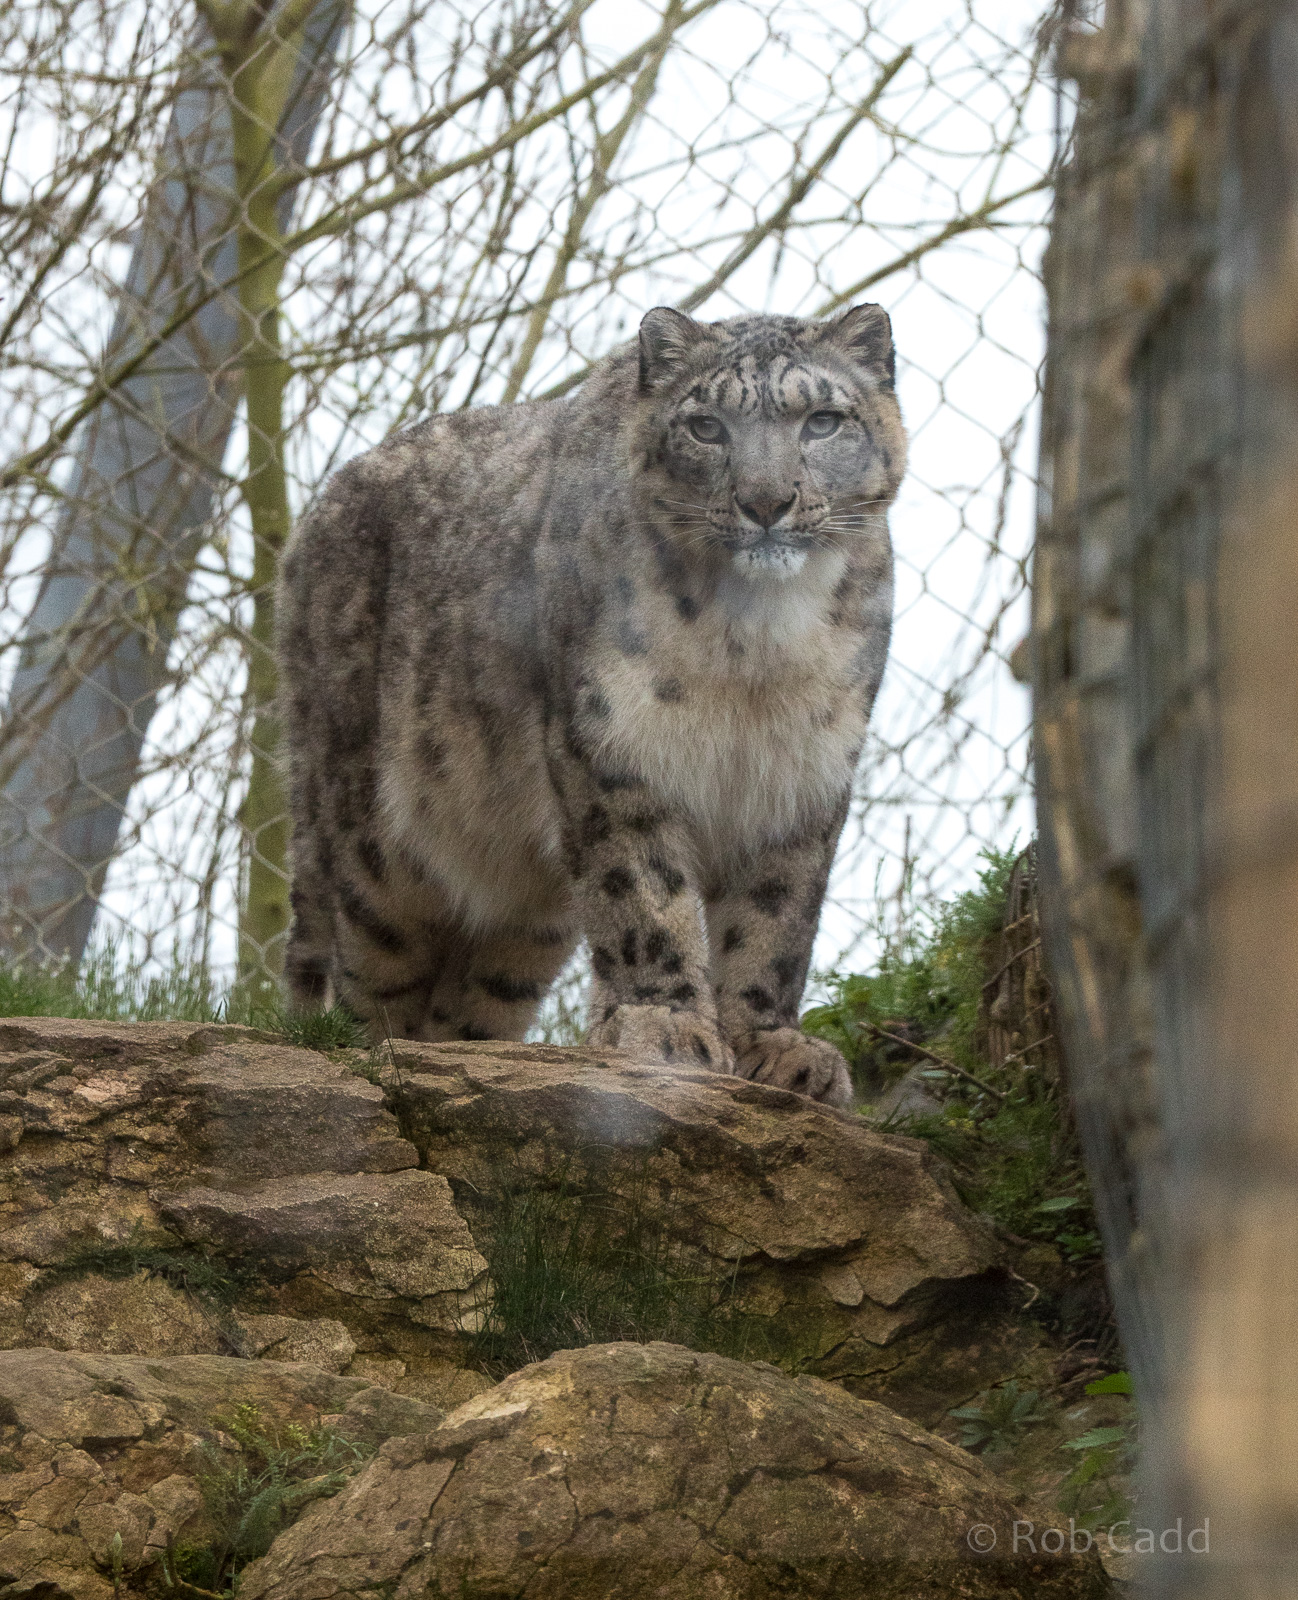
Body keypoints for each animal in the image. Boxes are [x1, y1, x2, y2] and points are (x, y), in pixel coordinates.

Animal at [277, 303, 905, 1109]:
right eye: (706, 427)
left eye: (823, 420)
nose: (766, 501)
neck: (757, 651)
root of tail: (311, 523)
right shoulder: (615, 741)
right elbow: (642, 893)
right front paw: (664, 1027)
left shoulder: (805, 769)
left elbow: (776, 915)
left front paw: (774, 1045)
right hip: (371, 832)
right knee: (367, 967)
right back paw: (374, 1058)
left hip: (526, 918)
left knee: (473, 994)